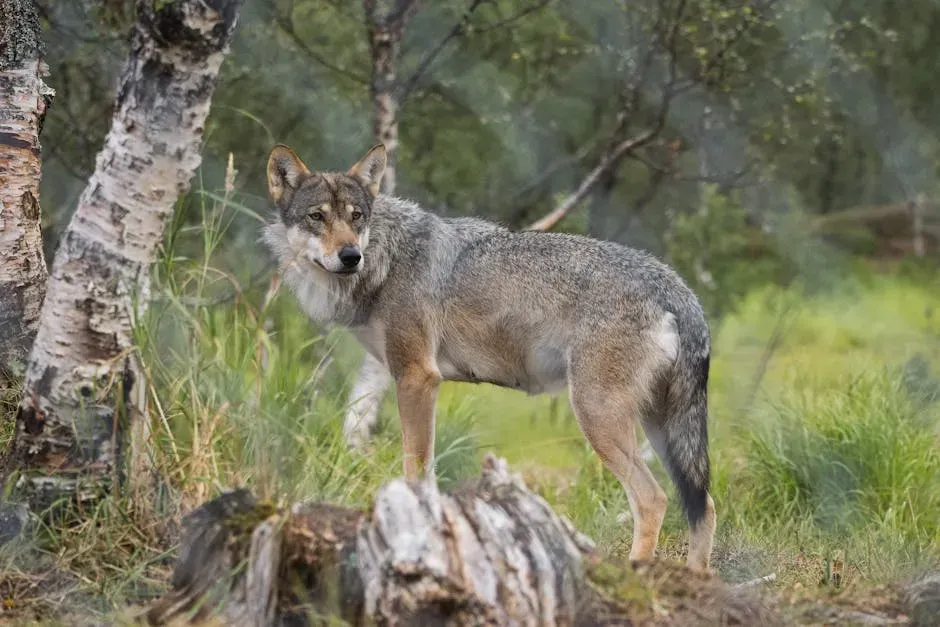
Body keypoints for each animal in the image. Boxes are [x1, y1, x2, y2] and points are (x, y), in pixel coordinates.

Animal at [262, 143, 716, 571]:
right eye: (317, 217)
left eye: (356, 217)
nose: (349, 256)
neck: (386, 258)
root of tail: (678, 286)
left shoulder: (417, 377)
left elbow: (416, 471)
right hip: (658, 428)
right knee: (705, 506)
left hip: (599, 417)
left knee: (653, 499)